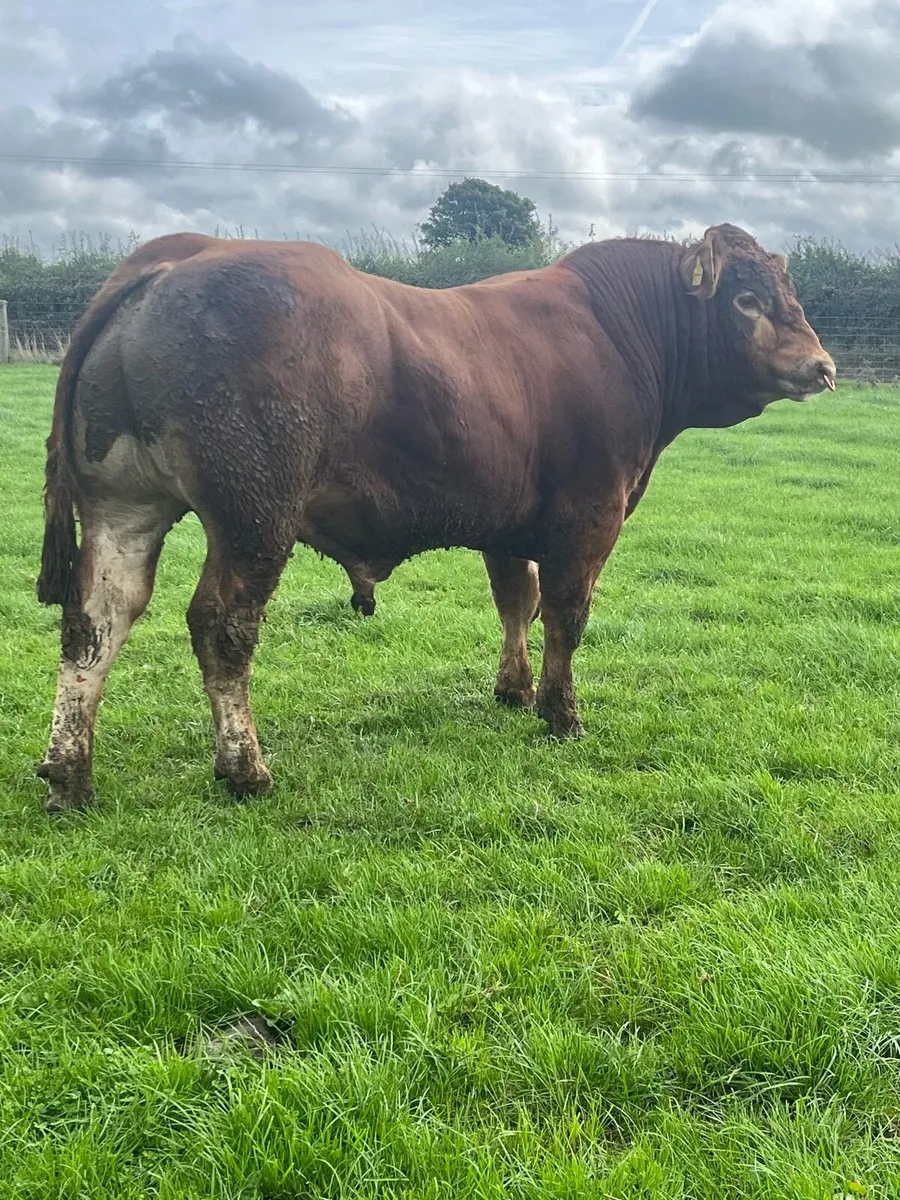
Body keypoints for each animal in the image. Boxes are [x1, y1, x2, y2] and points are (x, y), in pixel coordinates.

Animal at [34, 223, 835, 813]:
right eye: (745, 298)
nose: (822, 367)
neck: (617, 333)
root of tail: (183, 253)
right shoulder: (590, 515)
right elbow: (565, 614)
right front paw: (561, 713)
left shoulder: (511, 525)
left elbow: (516, 601)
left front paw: (513, 690)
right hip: (254, 516)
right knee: (222, 627)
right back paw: (245, 768)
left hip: (123, 507)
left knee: (95, 621)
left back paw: (69, 772)